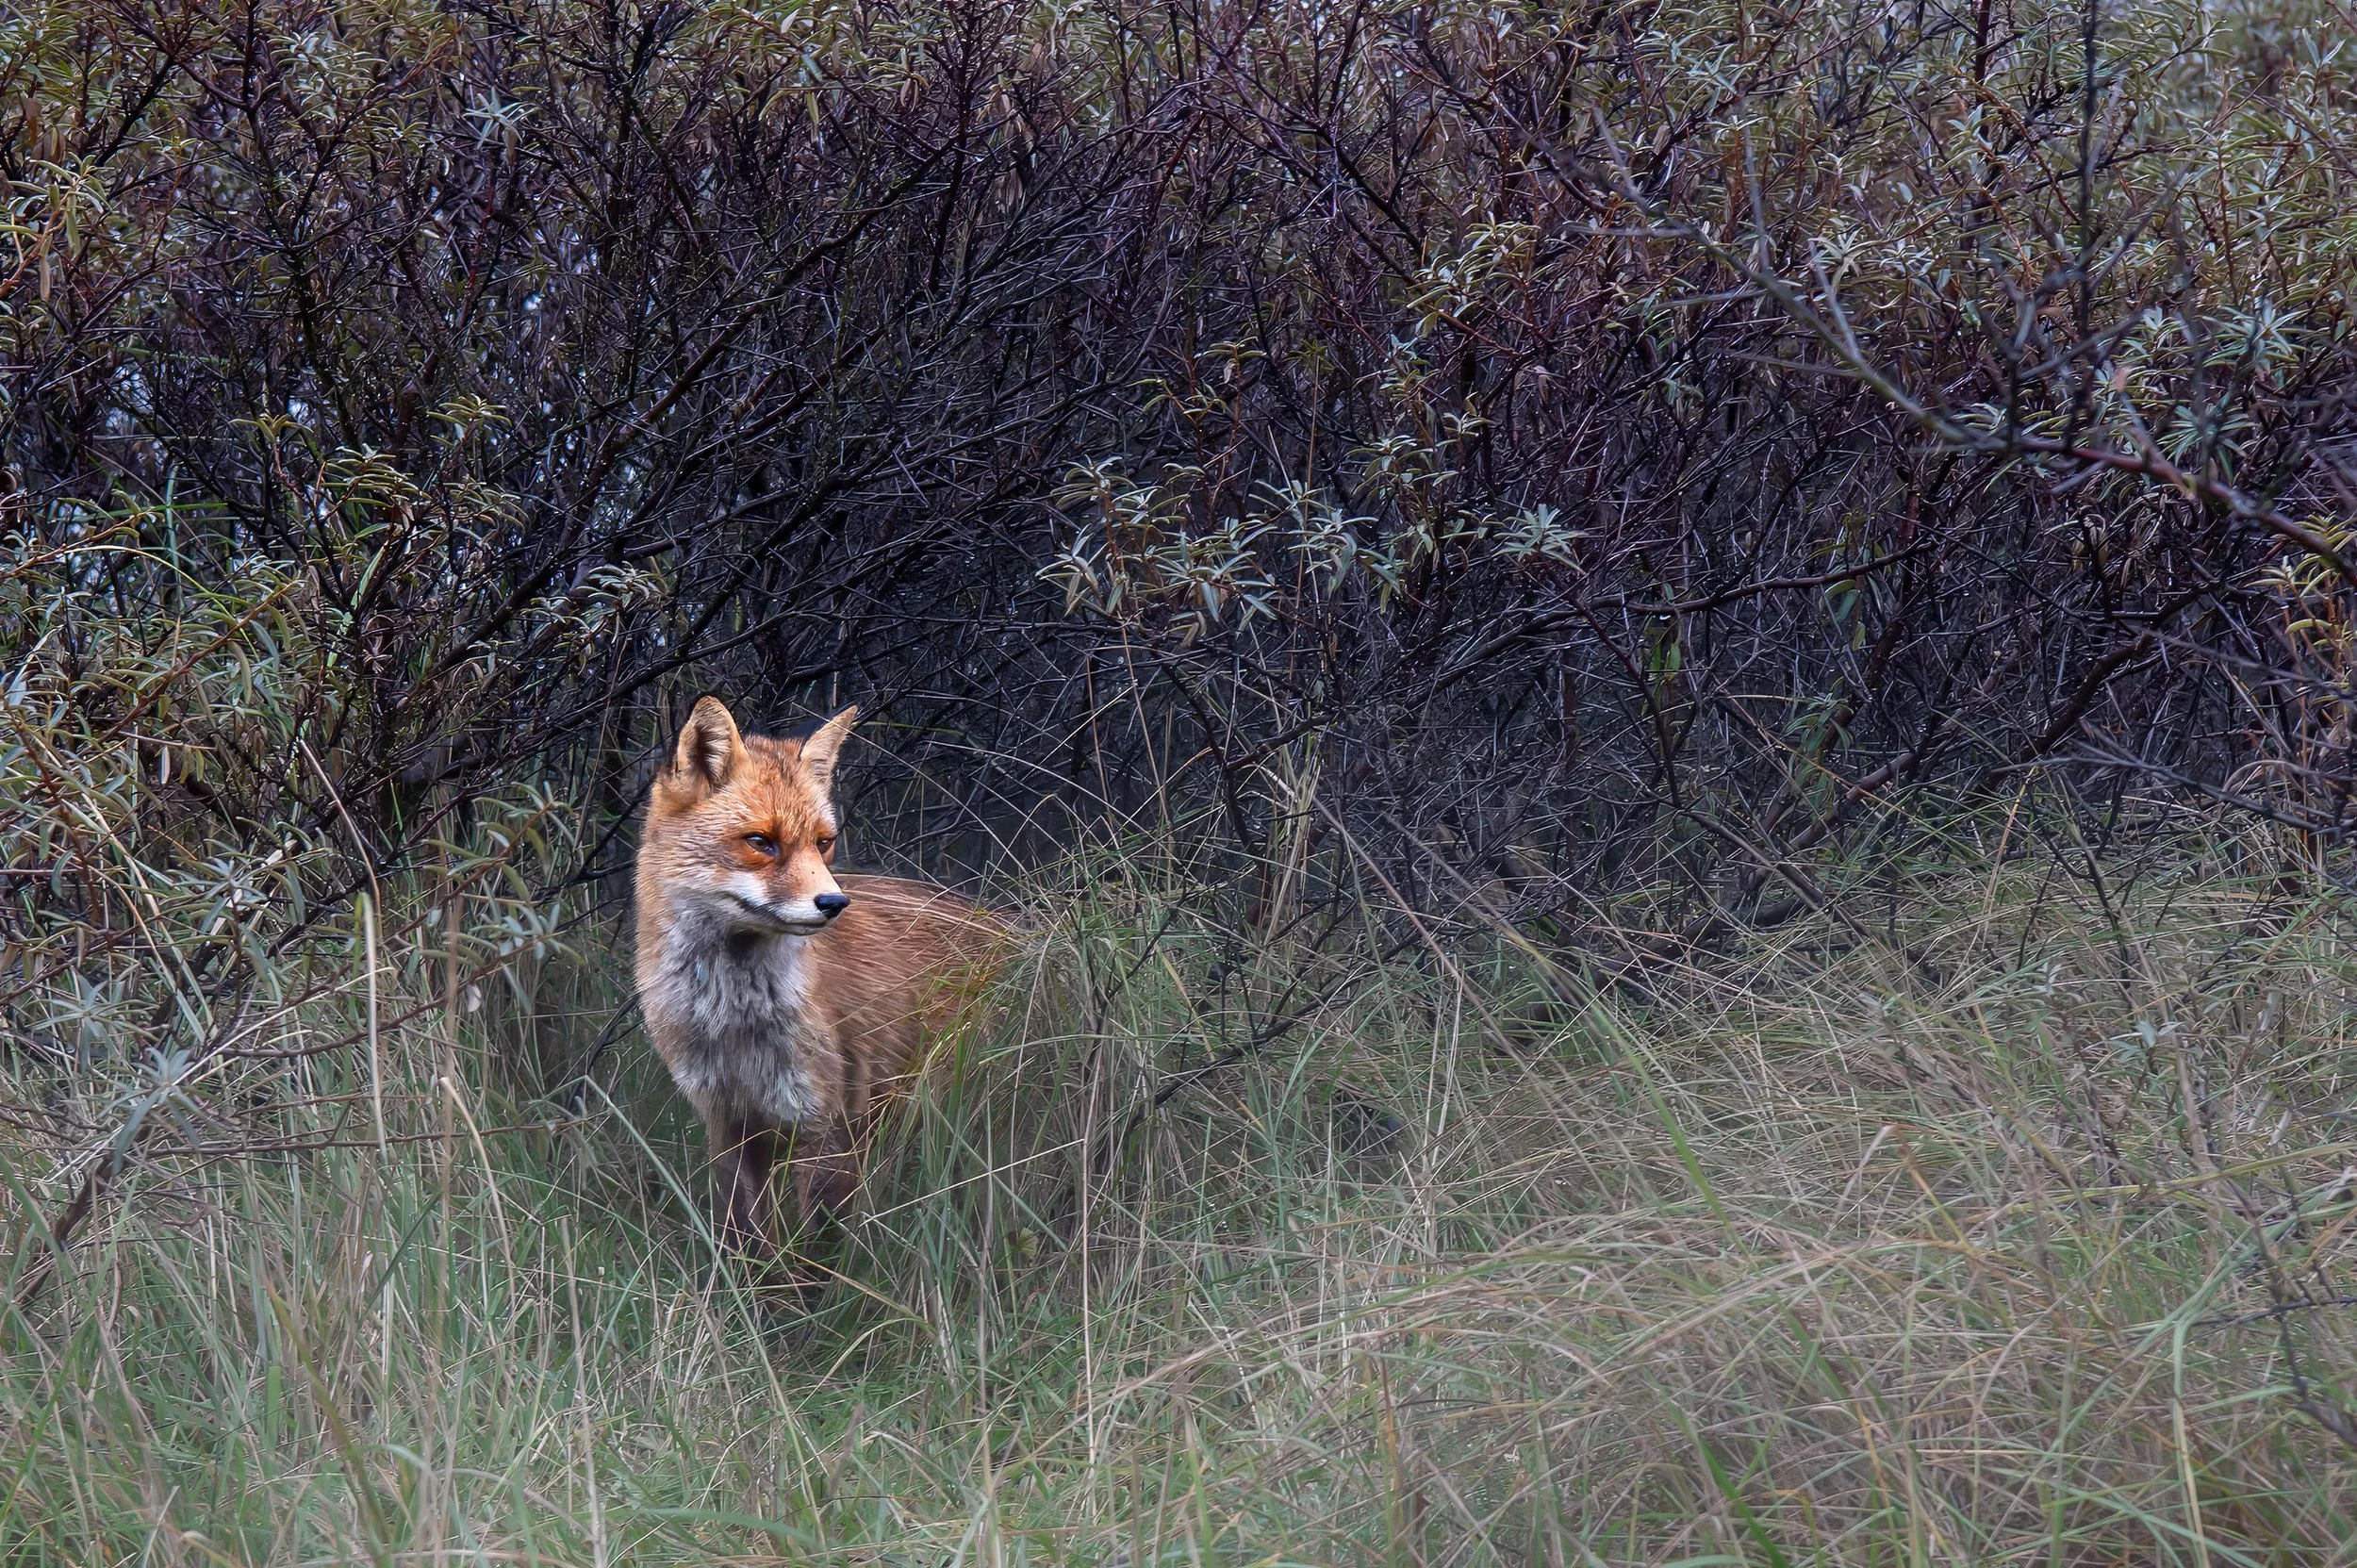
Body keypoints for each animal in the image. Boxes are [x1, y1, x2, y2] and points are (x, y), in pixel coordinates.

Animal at [633, 696, 1000, 1262]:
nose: (834, 903)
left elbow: (814, 1255)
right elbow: (748, 1244)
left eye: (823, 843)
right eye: (761, 841)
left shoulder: (827, 1126)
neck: (732, 1018)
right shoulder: (729, 1125)